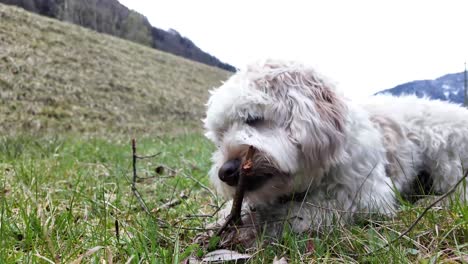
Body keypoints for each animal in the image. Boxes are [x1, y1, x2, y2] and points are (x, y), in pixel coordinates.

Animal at [202, 59, 468, 245]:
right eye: (219, 137)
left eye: (253, 119)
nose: (226, 172)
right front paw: (222, 220)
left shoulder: (366, 196)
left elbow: (300, 212)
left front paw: (260, 225)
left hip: (445, 152)